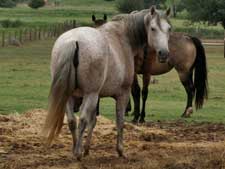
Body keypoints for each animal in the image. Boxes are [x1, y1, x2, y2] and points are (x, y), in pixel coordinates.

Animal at [42, 6, 172, 160]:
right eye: (152, 28)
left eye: (169, 28)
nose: (164, 53)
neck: (123, 37)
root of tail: (74, 41)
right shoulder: (122, 94)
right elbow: (119, 121)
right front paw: (120, 150)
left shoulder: (94, 97)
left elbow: (93, 121)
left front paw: (87, 149)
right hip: (90, 95)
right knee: (82, 120)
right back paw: (78, 153)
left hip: (70, 95)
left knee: (73, 121)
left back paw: (75, 150)